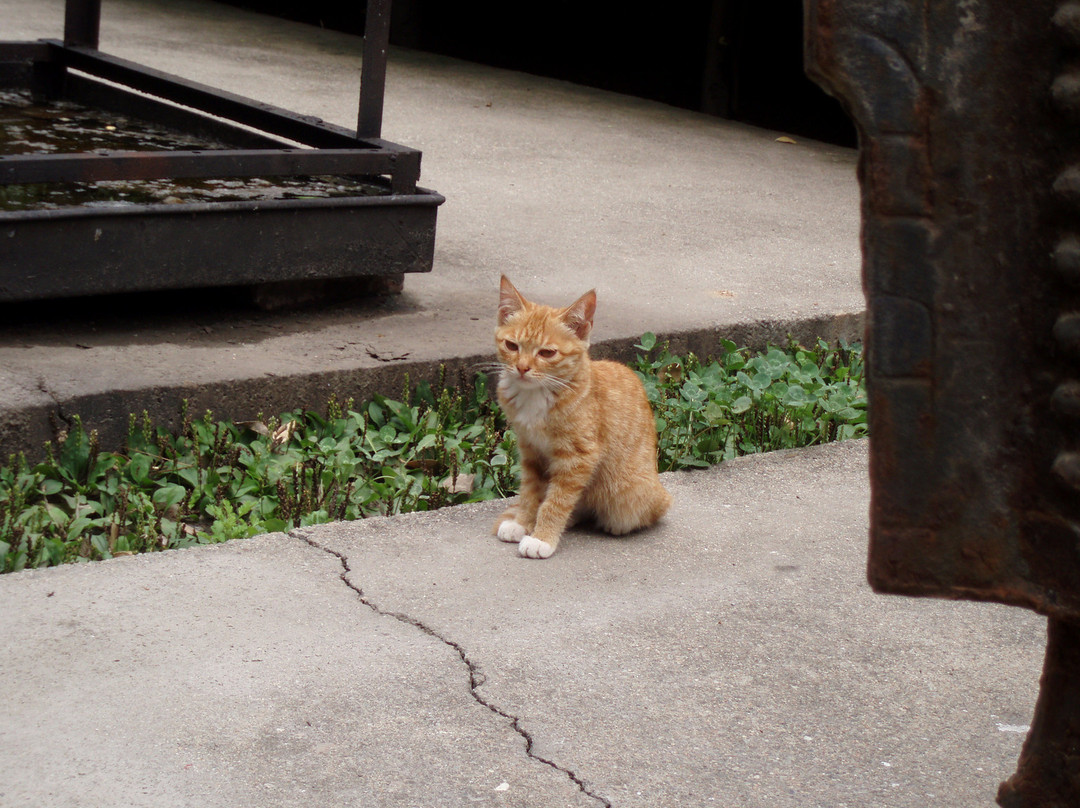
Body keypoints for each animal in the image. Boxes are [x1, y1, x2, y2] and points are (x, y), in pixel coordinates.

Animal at [494, 274, 669, 557]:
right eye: (511, 346)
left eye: (546, 353)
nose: (521, 368)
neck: (537, 396)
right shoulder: (530, 451)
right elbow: (530, 492)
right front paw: (522, 522)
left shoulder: (578, 457)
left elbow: (557, 500)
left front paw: (542, 537)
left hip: (628, 494)